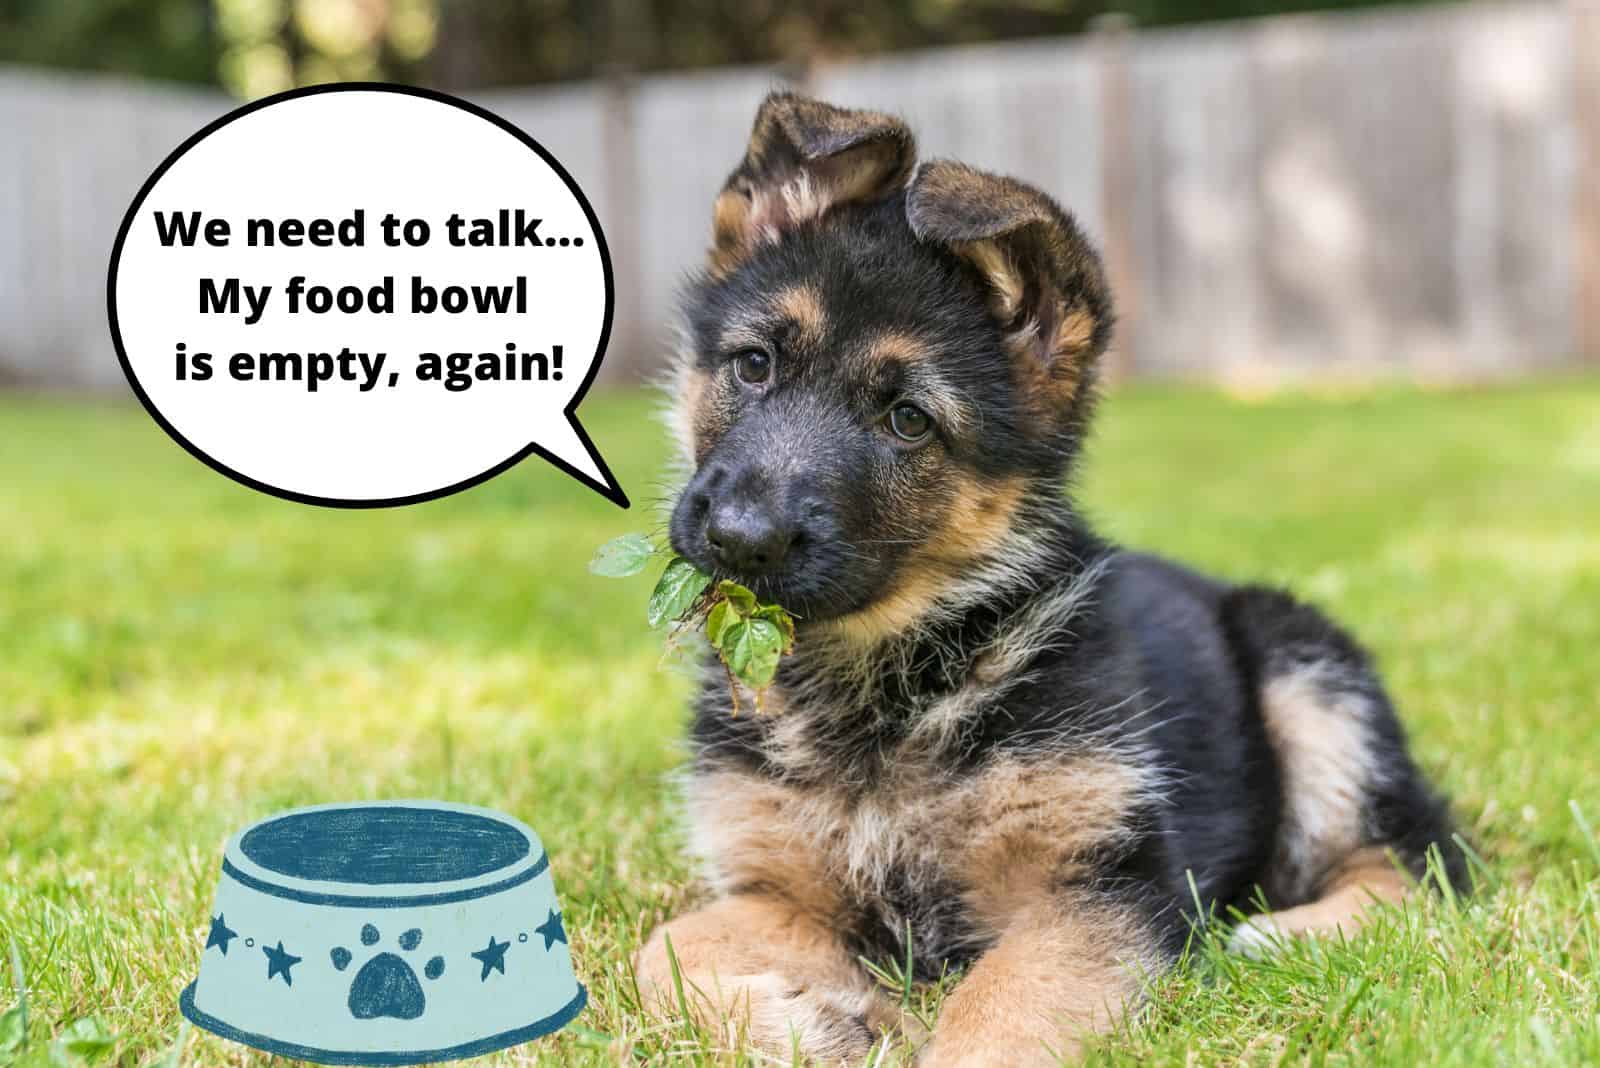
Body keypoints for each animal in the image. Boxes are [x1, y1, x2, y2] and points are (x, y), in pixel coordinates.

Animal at [633, 93, 1465, 1068]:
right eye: (754, 364)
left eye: (908, 420)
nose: (739, 538)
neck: (886, 681)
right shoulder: (780, 888)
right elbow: (663, 951)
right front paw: (821, 1020)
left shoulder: (1097, 893)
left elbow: (994, 1022)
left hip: (1308, 674)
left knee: (1422, 862)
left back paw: (1284, 933)